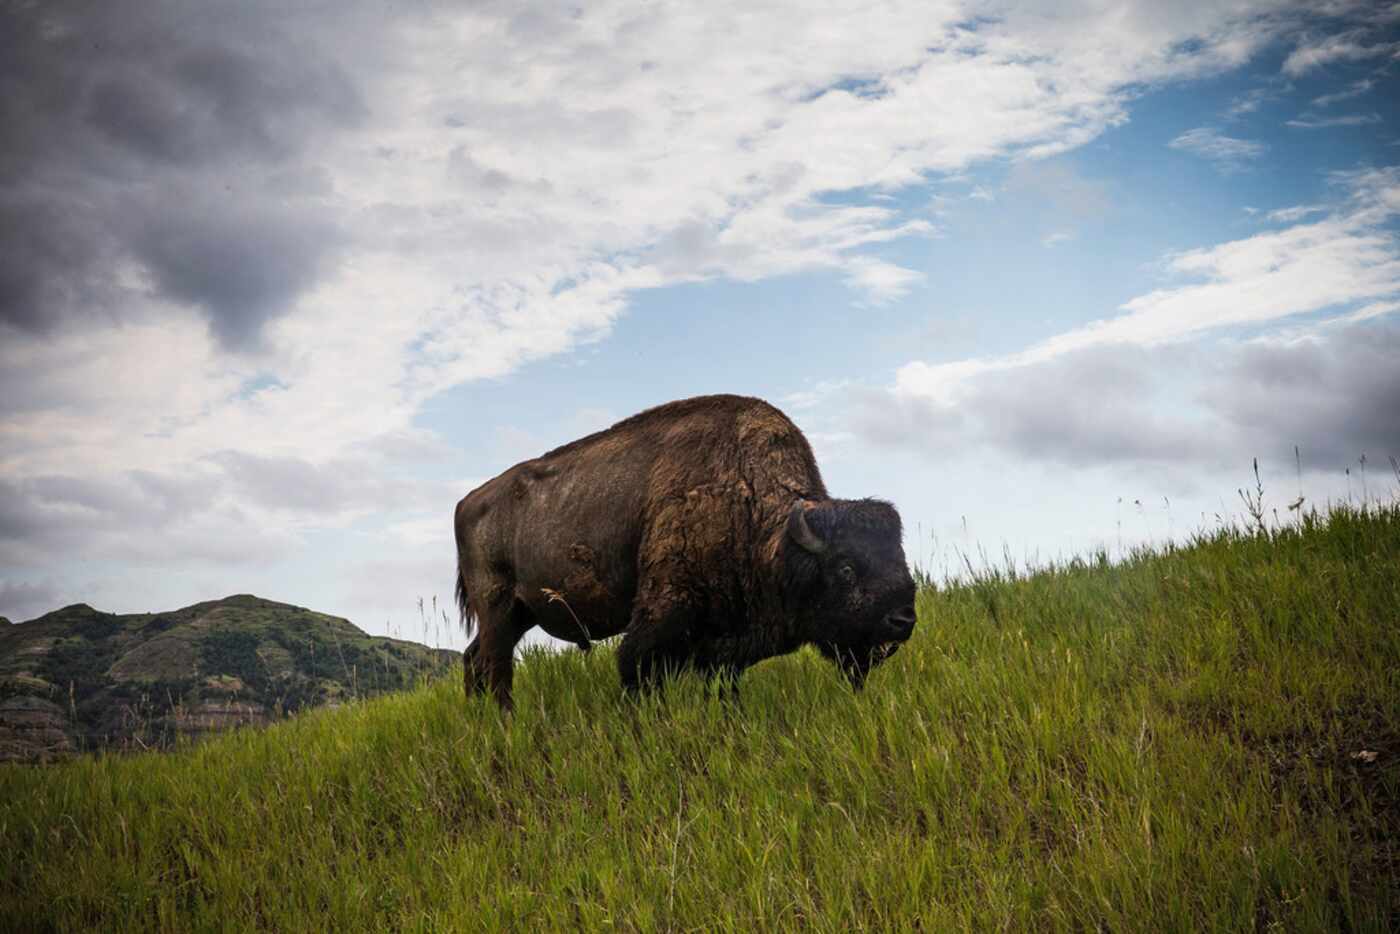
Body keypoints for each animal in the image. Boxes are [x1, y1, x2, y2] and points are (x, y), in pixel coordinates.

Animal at [456, 394, 918, 708]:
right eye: (846, 568)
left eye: (900, 559)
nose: (903, 620)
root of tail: (468, 502)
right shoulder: (662, 614)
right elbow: (635, 667)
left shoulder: (725, 647)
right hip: (498, 608)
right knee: (495, 666)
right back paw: (505, 718)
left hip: (520, 614)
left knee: (474, 658)